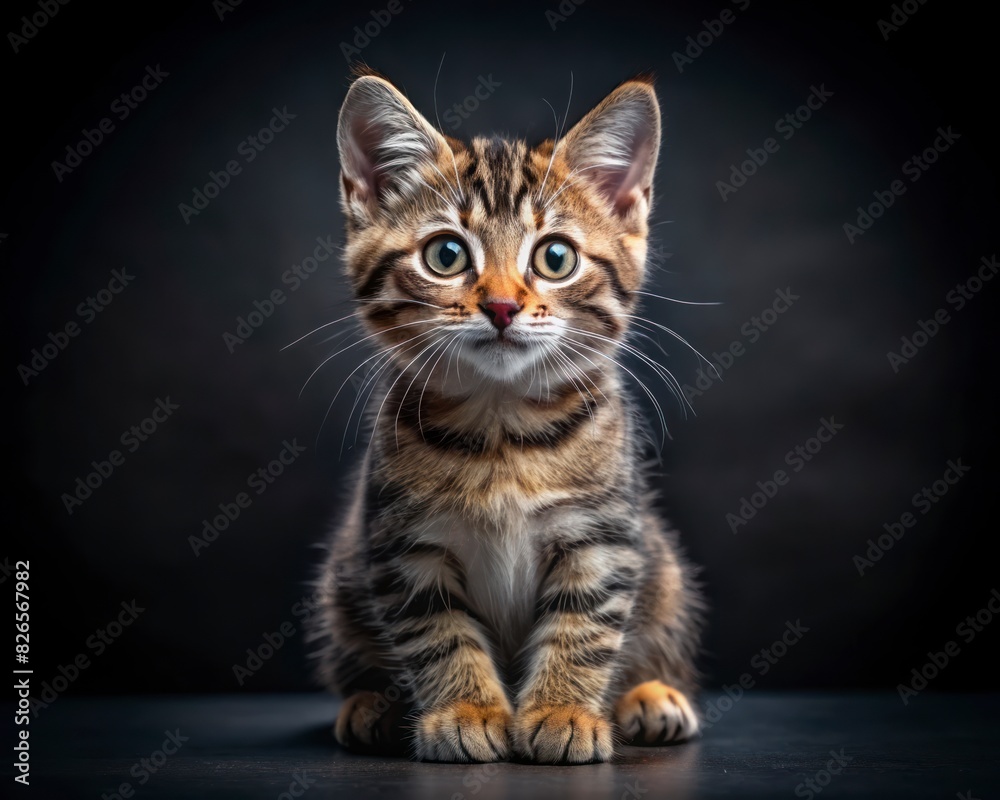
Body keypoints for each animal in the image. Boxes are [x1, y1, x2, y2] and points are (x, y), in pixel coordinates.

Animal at [312, 70, 704, 764]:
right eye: (445, 254)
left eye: (555, 258)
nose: (500, 306)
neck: (501, 433)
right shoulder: (403, 545)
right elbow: (437, 632)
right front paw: (465, 710)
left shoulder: (602, 535)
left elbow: (584, 624)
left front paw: (562, 711)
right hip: (340, 581)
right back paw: (371, 706)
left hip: (666, 571)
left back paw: (649, 696)